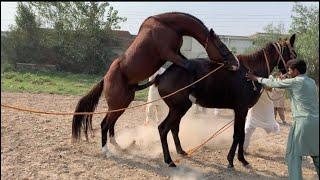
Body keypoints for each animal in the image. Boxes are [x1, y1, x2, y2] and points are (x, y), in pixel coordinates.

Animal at [71, 11, 239, 154]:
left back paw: (118, 146)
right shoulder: (169, 53)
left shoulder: (176, 53)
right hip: (117, 104)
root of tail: (105, 79)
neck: (167, 25)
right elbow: (189, 65)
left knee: (111, 124)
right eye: (221, 46)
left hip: (122, 104)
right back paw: (106, 150)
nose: (235, 63)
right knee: (105, 124)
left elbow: (187, 63)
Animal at [134, 34, 296, 167]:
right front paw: (233, 160)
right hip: (178, 108)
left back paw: (181, 151)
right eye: (293, 53)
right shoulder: (240, 110)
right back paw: (169, 160)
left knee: (174, 128)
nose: (291, 72)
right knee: (163, 129)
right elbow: (238, 135)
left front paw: (240, 159)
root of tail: (162, 75)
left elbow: (242, 134)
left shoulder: (242, 111)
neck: (250, 72)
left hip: (179, 109)